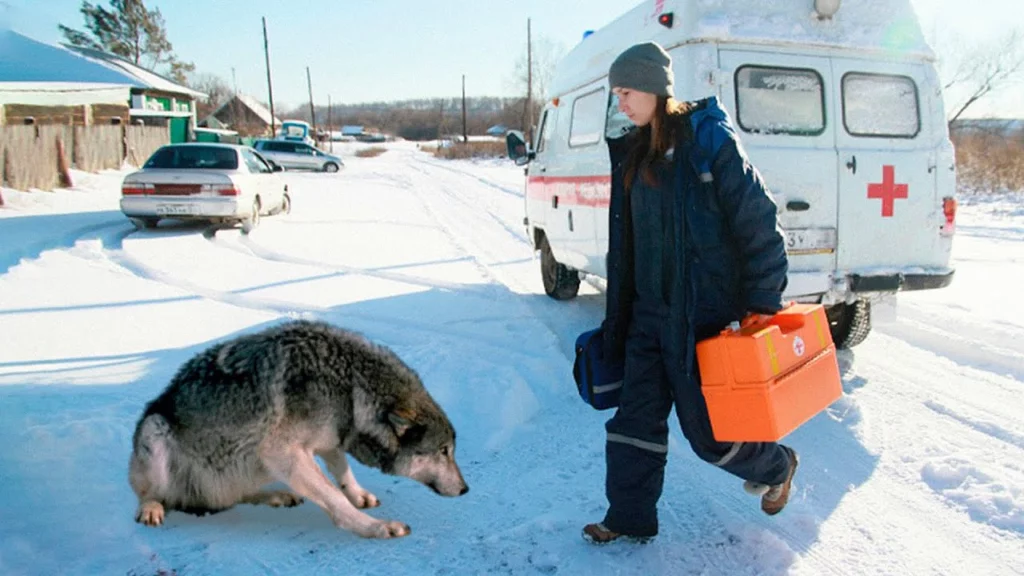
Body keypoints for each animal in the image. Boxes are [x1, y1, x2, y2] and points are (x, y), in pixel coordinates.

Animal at [128, 317, 468, 537]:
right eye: (444, 451)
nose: (466, 489)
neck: (348, 386)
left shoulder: (328, 439)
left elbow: (343, 472)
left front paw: (359, 495)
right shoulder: (283, 453)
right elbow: (334, 498)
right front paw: (375, 527)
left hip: (248, 467)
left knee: (232, 497)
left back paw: (277, 496)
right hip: (156, 430)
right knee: (155, 494)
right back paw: (151, 508)